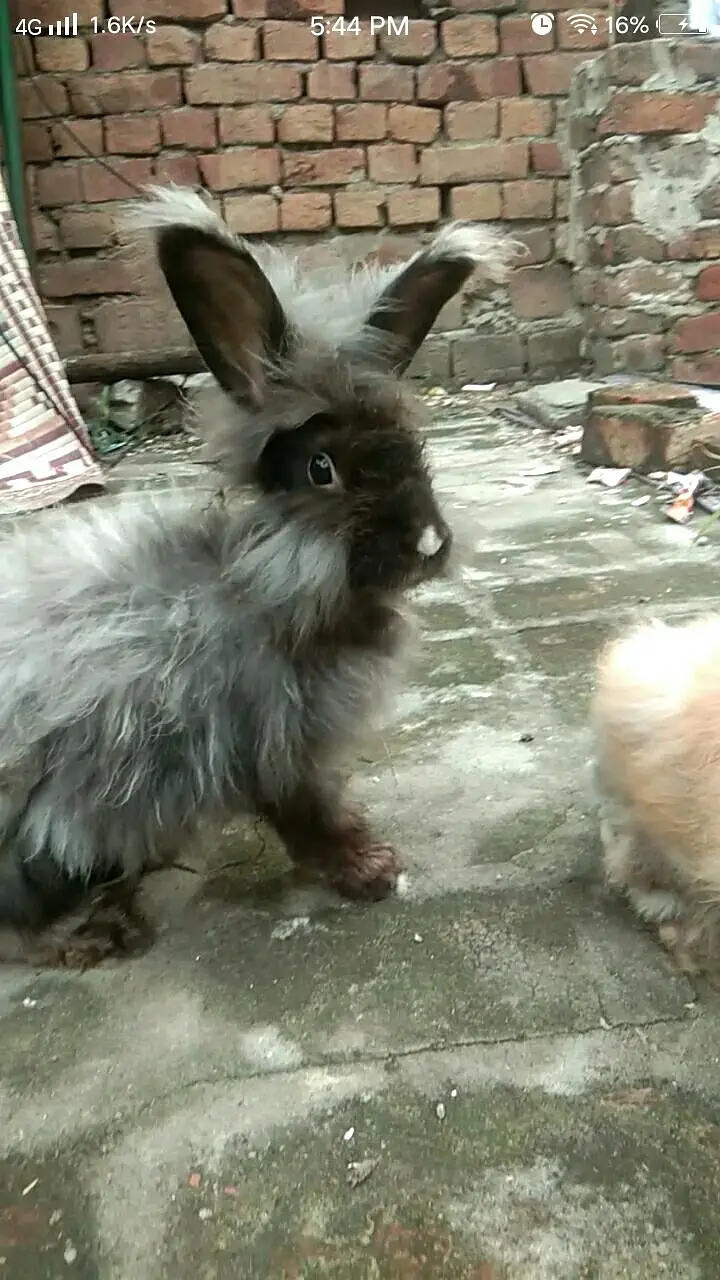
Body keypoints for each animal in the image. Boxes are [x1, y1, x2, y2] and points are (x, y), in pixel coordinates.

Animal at [0, 184, 518, 968]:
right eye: (321, 469)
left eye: (416, 450)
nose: (430, 543)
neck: (258, 588)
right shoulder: (268, 743)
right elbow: (310, 818)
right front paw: (369, 872)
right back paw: (94, 933)